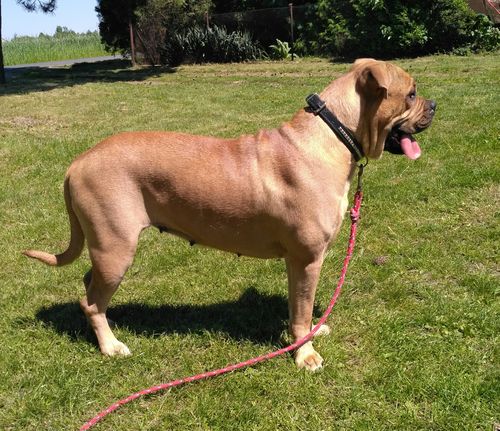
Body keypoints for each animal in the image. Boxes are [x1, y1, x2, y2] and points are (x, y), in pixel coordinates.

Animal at [24, 59, 435, 371]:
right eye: (411, 94)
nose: (433, 105)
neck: (333, 133)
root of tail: (78, 162)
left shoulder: (297, 263)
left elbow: (297, 308)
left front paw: (310, 334)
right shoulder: (306, 259)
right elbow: (302, 310)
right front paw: (305, 353)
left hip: (106, 247)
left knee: (89, 284)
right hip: (116, 247)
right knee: (92, 301)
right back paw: (111, 345)